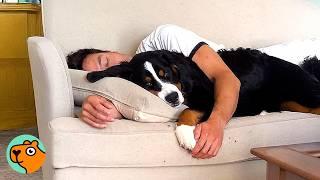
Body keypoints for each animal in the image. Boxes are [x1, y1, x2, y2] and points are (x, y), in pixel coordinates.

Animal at [87, 48, 320, 150]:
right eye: (148, 84)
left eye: (166, 74)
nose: (173, 96)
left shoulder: (209, 98)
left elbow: (186, 110)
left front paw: (185, 135)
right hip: (293, 103)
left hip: (304, 94)